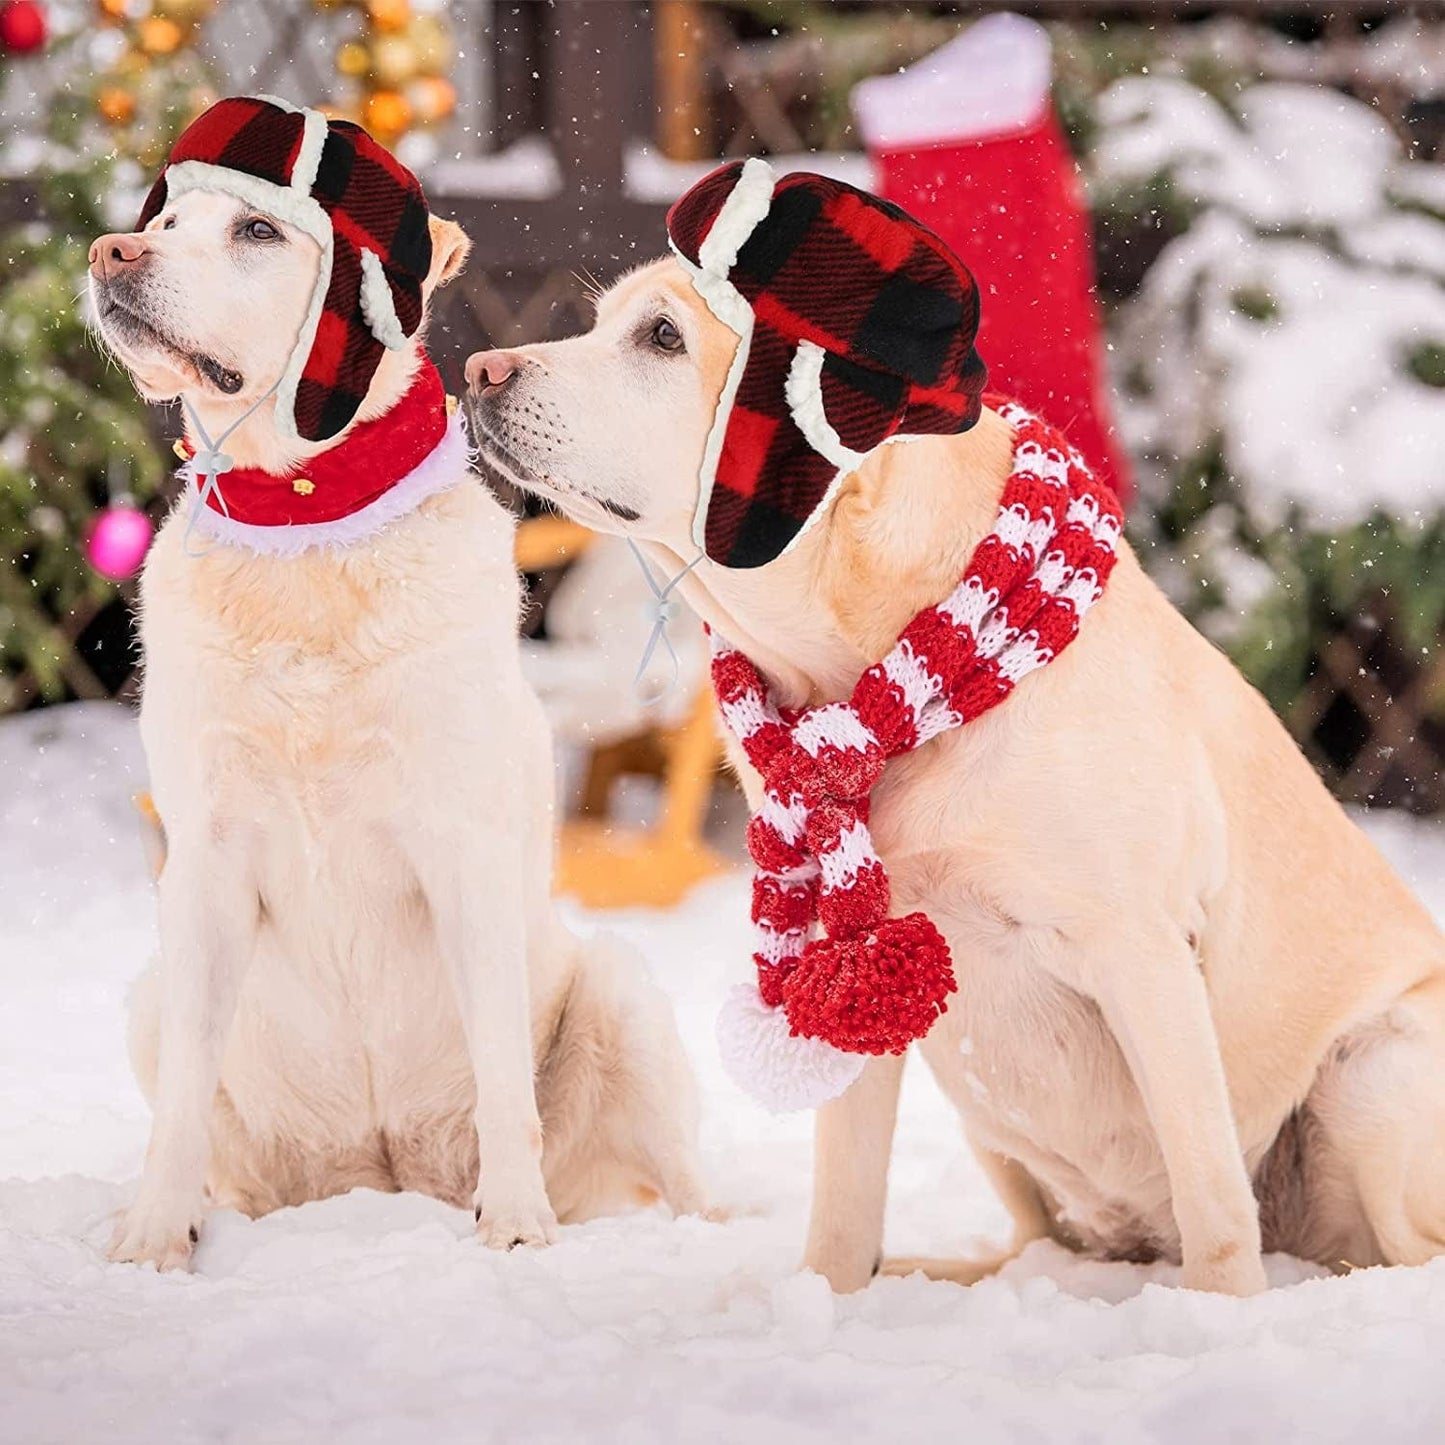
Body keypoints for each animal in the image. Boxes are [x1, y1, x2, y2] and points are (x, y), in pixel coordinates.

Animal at [84, 98, 705, 1265]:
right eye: (168, 219)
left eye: (256, 230)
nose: (110, 251)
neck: (307, 526)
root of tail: (386, 1172)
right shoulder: (206, 858)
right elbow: (184, 1094)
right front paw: (152, 1240)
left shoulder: (461, 845)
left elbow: (503, 1072)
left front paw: (515, 1227)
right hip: (147, 999)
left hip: (625, 991)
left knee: (687, 1188)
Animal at [468, 254, 1445, 1306]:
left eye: (661, 336)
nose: (478, 369)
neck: (888, 669)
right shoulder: (856, 974)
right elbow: (844, 1201)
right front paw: (825, 1299)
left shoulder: (1142, 954)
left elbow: (1214, 1199)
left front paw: (1220, 1318)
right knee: (1044, 1244)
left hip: (1375, 1070)